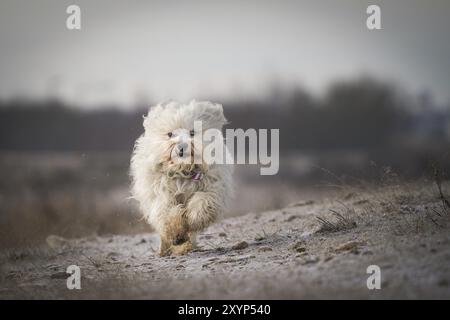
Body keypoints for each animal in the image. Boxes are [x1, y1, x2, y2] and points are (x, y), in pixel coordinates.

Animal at [130, 100, 234, 255]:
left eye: (192, 132)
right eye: (170, 134)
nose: (182, 146)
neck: (183, 170)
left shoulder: (211, 187)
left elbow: (202, 202)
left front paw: (193, 219)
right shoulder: (161, 194)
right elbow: (168, 213)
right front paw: (176, 233)